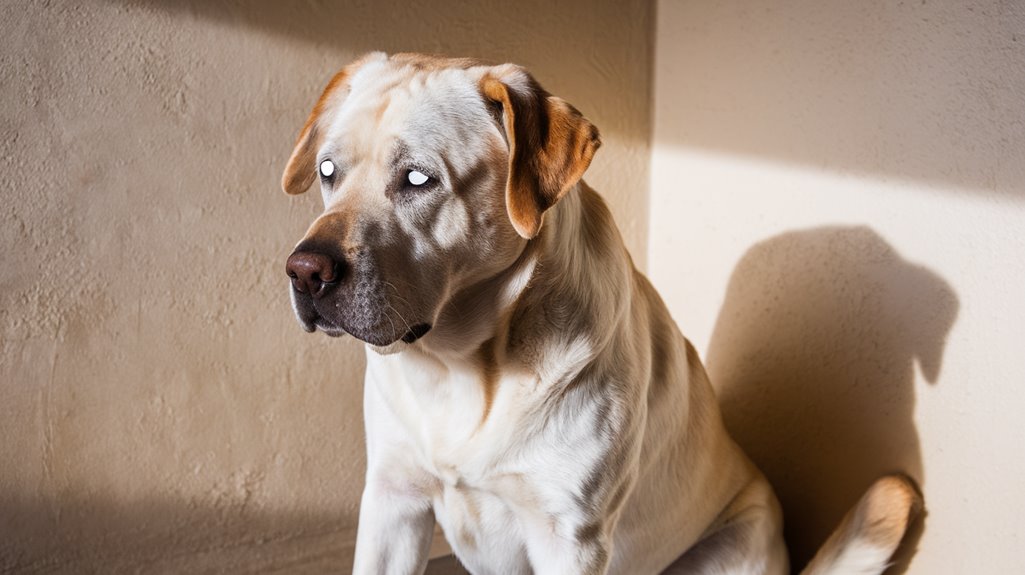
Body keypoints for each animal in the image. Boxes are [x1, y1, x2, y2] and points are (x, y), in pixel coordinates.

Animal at [280, 51, 922, 569]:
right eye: (328, 172)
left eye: (418, 178)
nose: (305, 271)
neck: (465, 369)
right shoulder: (394, 501)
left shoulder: (570, 535)